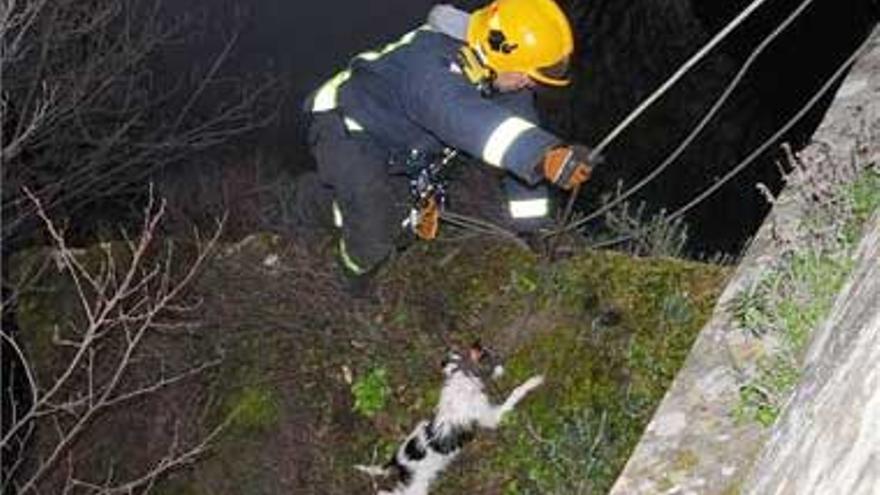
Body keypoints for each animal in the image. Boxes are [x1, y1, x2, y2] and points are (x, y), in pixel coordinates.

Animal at [356, 344, 544, 495]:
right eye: (489, 357)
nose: (504, 364)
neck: (462, 378)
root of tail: (397, 459)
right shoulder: (491, 417)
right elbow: (515, 393)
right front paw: (533, 382)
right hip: (418, 485)